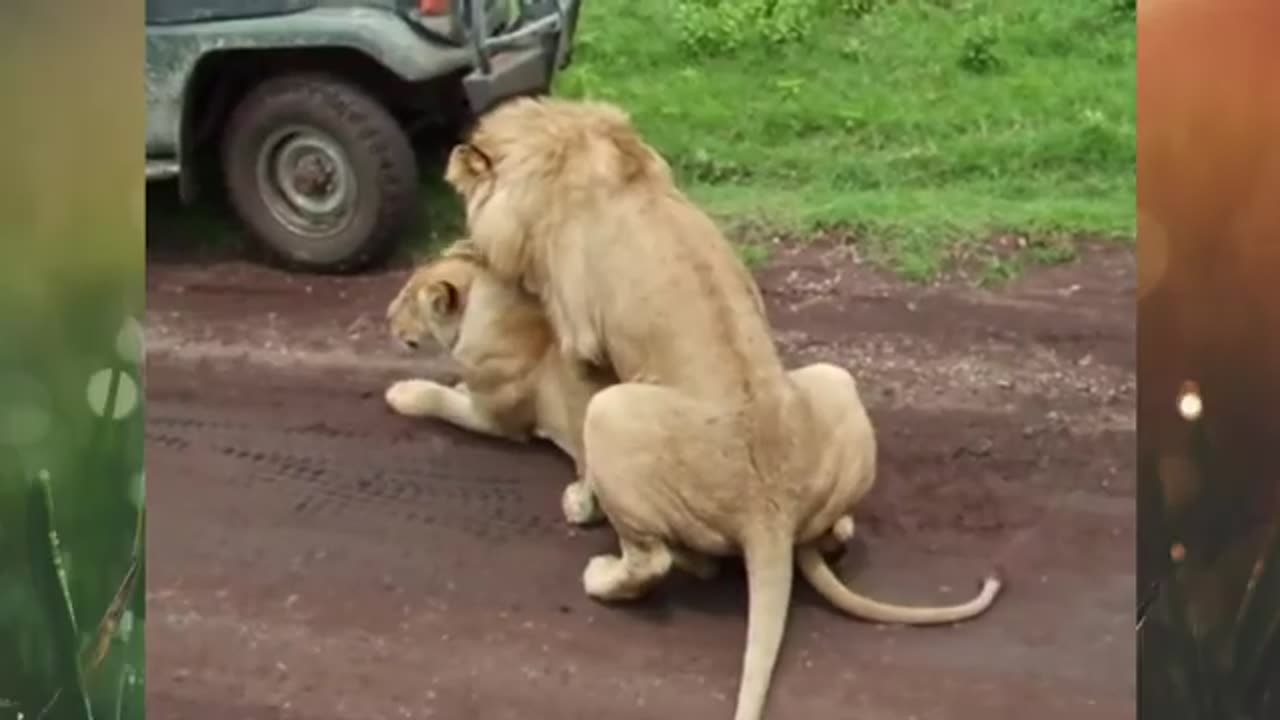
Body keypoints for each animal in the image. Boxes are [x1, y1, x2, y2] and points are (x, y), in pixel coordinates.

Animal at [448, 99, 998, 717]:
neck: (565, 144)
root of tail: (771, 514)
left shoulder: (583, 346)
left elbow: (577, 421)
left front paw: (581, 502)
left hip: (614, 412)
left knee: (656, 560)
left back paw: (606, 573)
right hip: (835, 381)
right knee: (832, 530)